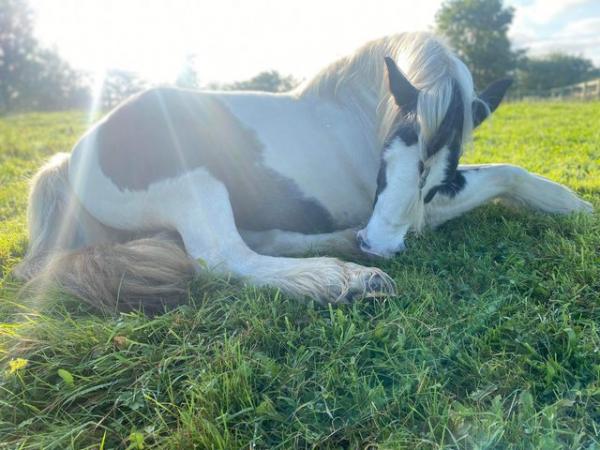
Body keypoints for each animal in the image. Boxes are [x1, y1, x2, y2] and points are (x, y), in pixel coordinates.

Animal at [16, 32, 592, 312]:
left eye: (433, 178)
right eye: (386, 159)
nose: (380, 244)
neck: (362, 108)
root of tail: (71, 159)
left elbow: (503, 172)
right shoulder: (425, 213)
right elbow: (507, 172)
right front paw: (576, 205)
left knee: (264, 240)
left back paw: (344, 252)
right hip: (195, 184)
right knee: (223, 257)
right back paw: (348, 280)